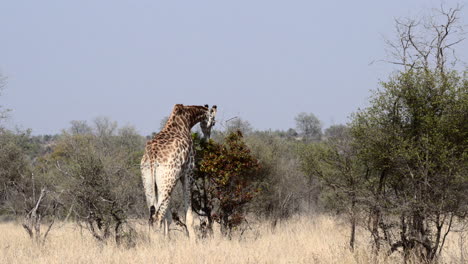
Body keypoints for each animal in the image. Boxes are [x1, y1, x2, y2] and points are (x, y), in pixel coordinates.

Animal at [141, 104, 218, 240]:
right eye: (213, 122)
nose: (207, 139)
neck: (186, 120)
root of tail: (152, 157)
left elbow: (168, 217)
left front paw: (168, 240)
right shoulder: (188, 173)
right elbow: (189, 216)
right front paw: (193, 241)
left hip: (150, 183)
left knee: (152, 215)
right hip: (167, 181)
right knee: (158, 216)